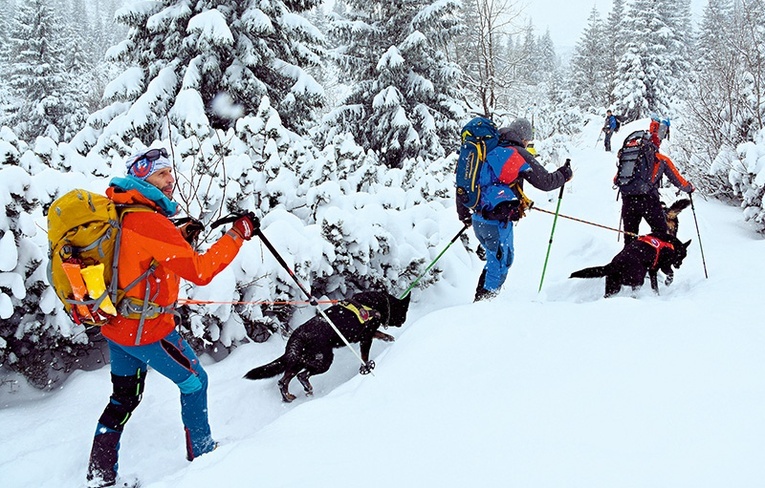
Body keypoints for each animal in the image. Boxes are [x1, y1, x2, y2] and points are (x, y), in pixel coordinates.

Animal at [245, 292, 412, 402]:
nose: (403, 322)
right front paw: (366, 368)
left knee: (283, 381)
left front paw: (389, 338)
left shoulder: (367, 334)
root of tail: (297, 337)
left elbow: (380, 334)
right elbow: (365, 356)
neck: (381, 304)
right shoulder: (365, 337)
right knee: (302, 376)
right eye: (404, 313)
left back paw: (288, 397)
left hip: (298, 361)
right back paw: (307, 389)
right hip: (323, 360)